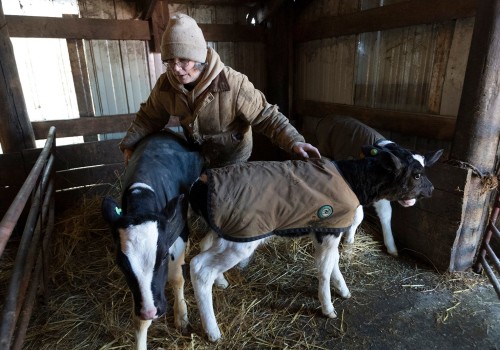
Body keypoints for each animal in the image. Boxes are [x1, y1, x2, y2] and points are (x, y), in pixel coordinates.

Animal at [101, 131, 203, 350]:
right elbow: (140, 320)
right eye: (120, 264)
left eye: (163, 256)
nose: (150, 311)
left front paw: (181, 316)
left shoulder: (179, 230)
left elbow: (176, 277)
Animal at [188, 144, 442, 340]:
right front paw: (328, 307)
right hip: (242, 237)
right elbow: (324, 268)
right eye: (417, 174)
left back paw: (221, 282)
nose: (432, 189)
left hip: (224, 232)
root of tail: (200, 184)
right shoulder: (329, 229)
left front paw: (342, 289)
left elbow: (333, 262)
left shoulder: (327, 230)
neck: (353, 179)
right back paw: (213, 330)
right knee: (199, 267)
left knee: (204, 247)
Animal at [312, 116, 442, 256]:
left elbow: (386, 214)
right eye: (417, 175)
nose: (431, 189)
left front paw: (392, 247)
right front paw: (348, 245)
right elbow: (357, 216)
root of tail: (330, 117)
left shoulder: (382, 191)